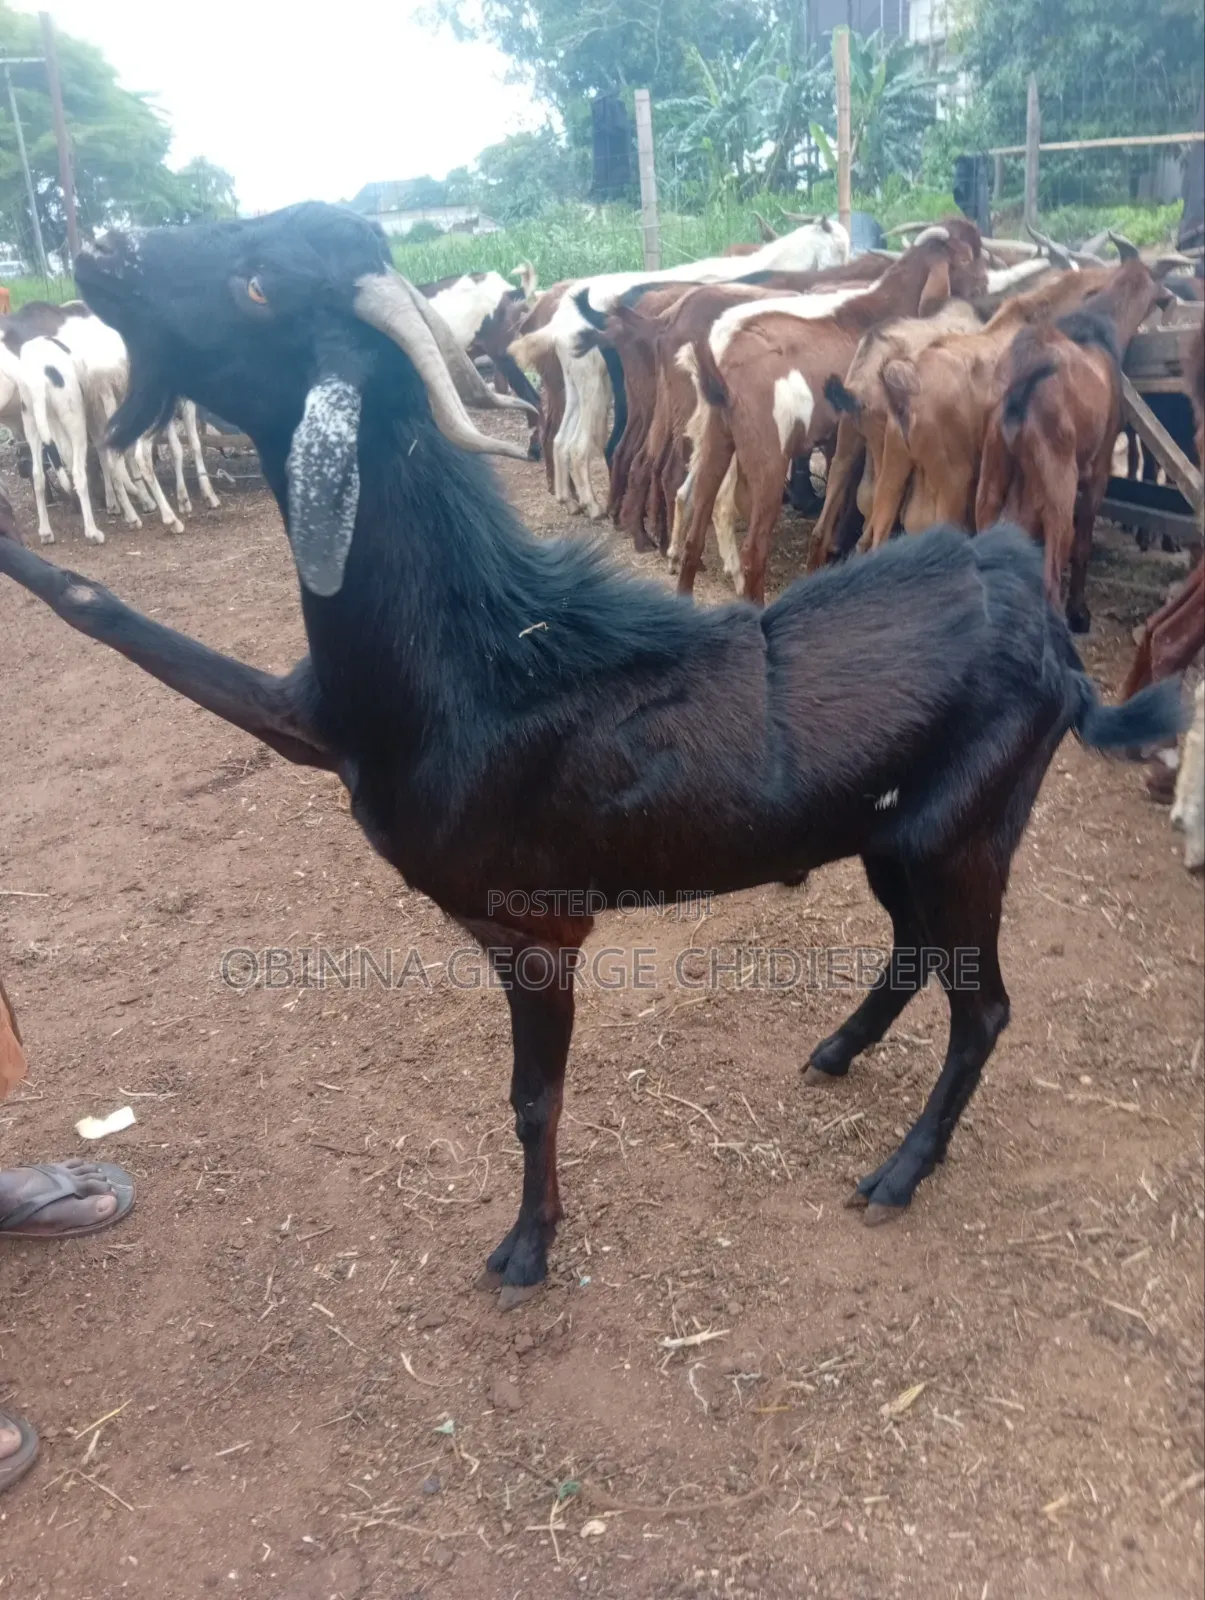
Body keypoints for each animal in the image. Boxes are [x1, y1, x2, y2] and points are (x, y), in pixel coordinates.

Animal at [676, 224, 989, 602]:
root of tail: (723, 364)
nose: (986, 285)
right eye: (967, 258)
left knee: (696, 528)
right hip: (768, 456)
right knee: (755, 546)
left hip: (716, 439)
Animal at [975, 260, 1167, 628]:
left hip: (992, 476)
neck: (1099, 327)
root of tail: (1021, 387)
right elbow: (1083, 546)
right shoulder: (1098, 468)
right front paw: (1079, 613)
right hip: (1060, 486)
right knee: (1052, 573)